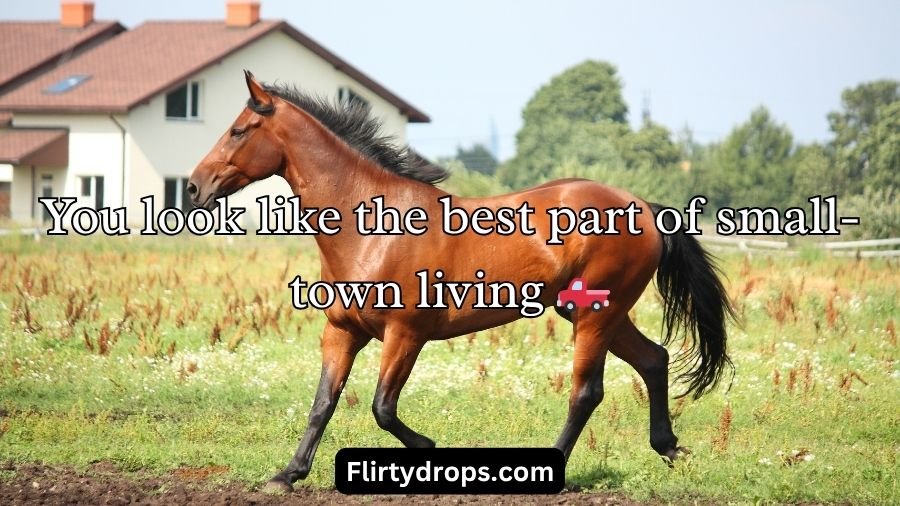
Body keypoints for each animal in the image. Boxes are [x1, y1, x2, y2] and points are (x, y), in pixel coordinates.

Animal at [188, 71, 734, 493]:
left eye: (239, 131)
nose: (194, 187)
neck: (372, 228)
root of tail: (643, 206)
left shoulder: (405, 335)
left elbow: (382, 407)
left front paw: (429, 449)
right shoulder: (342, 332)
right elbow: (323, 403)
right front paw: (287, 474)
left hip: (595, 314)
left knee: (586, 392)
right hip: (594, 311)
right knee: (654, 360)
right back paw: (670, 449)